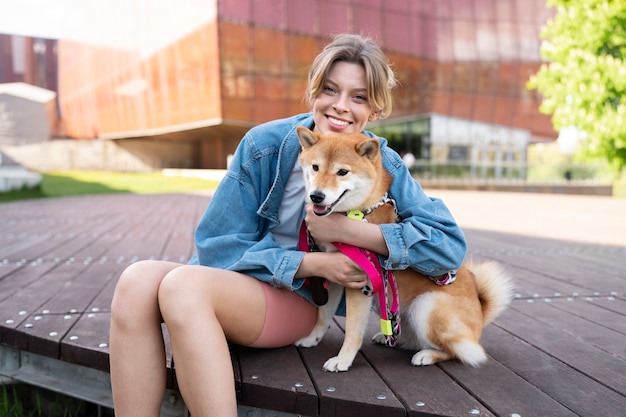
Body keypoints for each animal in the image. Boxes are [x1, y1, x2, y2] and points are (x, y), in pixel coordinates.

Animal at [292, 126, 512, 370]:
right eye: (315, 167)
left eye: (342, 172)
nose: (316, 196)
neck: (358, 212)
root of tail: (480, 316)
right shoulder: (333, 274)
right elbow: (323, 315)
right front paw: (312, 338)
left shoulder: (361, 284)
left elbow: (352, 330)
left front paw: (342, 360)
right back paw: (389, 337)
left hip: (424, 307)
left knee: (462, 352)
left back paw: (428, 355)